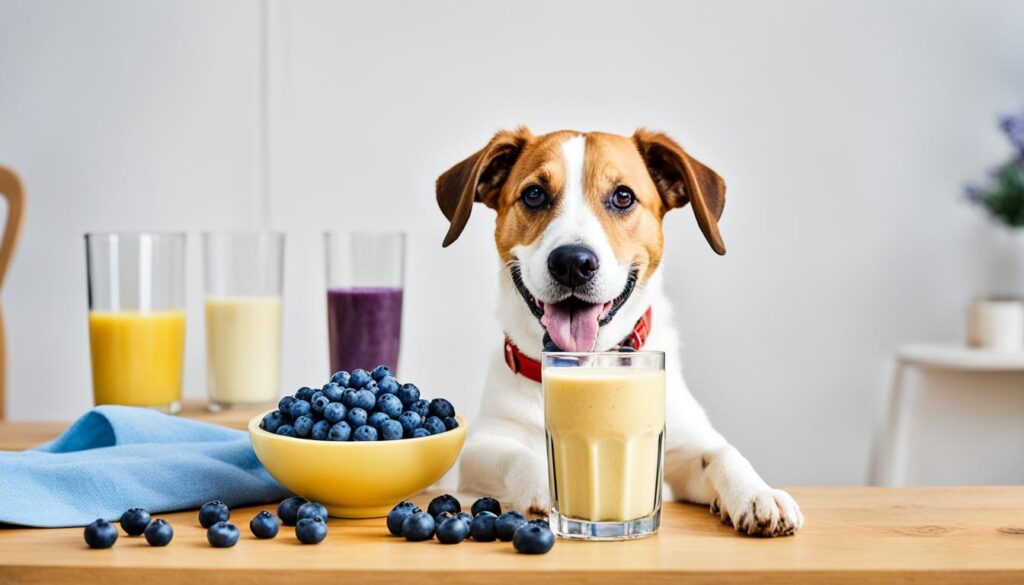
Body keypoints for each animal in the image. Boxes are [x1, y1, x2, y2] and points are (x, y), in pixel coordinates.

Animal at [436, 129, 802, 540]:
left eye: (623, 196)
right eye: (534, 194)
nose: (572, 263)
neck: (589, 362)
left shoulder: (680, 449)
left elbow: (721, 453)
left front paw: (757, 493)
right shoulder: (480, 448)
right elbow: (517, 454)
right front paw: (547, 483)